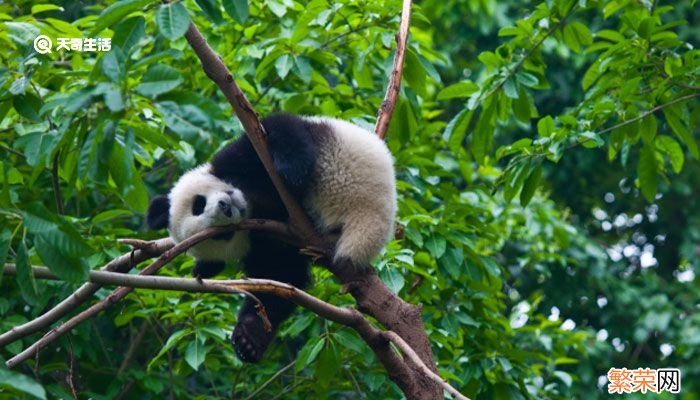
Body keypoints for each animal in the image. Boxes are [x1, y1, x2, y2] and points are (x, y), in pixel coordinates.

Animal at [145, 113, 396, 362]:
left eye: (198, 204)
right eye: (222, 235)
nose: (226, 207)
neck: (254, 202)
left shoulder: (238, 159)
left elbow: (275, 129)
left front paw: (291, 170)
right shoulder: (267, 243)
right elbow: (279, 278)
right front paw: (248, 338)